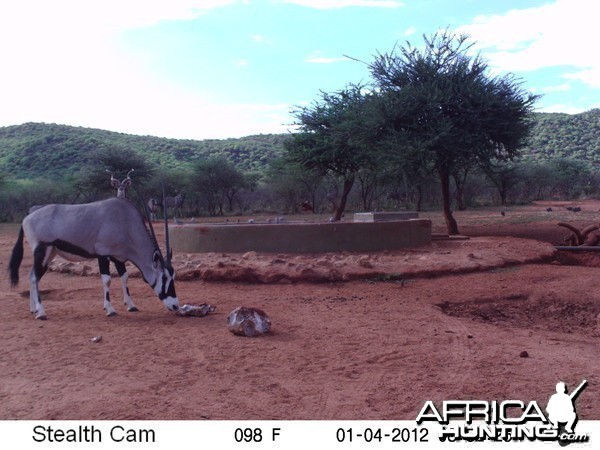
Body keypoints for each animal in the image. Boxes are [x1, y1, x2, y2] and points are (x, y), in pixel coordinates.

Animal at [8, 198, 179, 320]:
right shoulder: (103, 255)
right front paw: (110, 309)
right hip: (42, 252)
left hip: (50, 254)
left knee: (32, 276)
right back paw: (41, 312)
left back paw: (33, 309)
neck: (125, 221)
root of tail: (28, 216)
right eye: (164, 277)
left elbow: (124, 277)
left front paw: (131, 305)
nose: (176, 306)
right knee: (35, 277)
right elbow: (107, 280)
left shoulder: (118, 258)